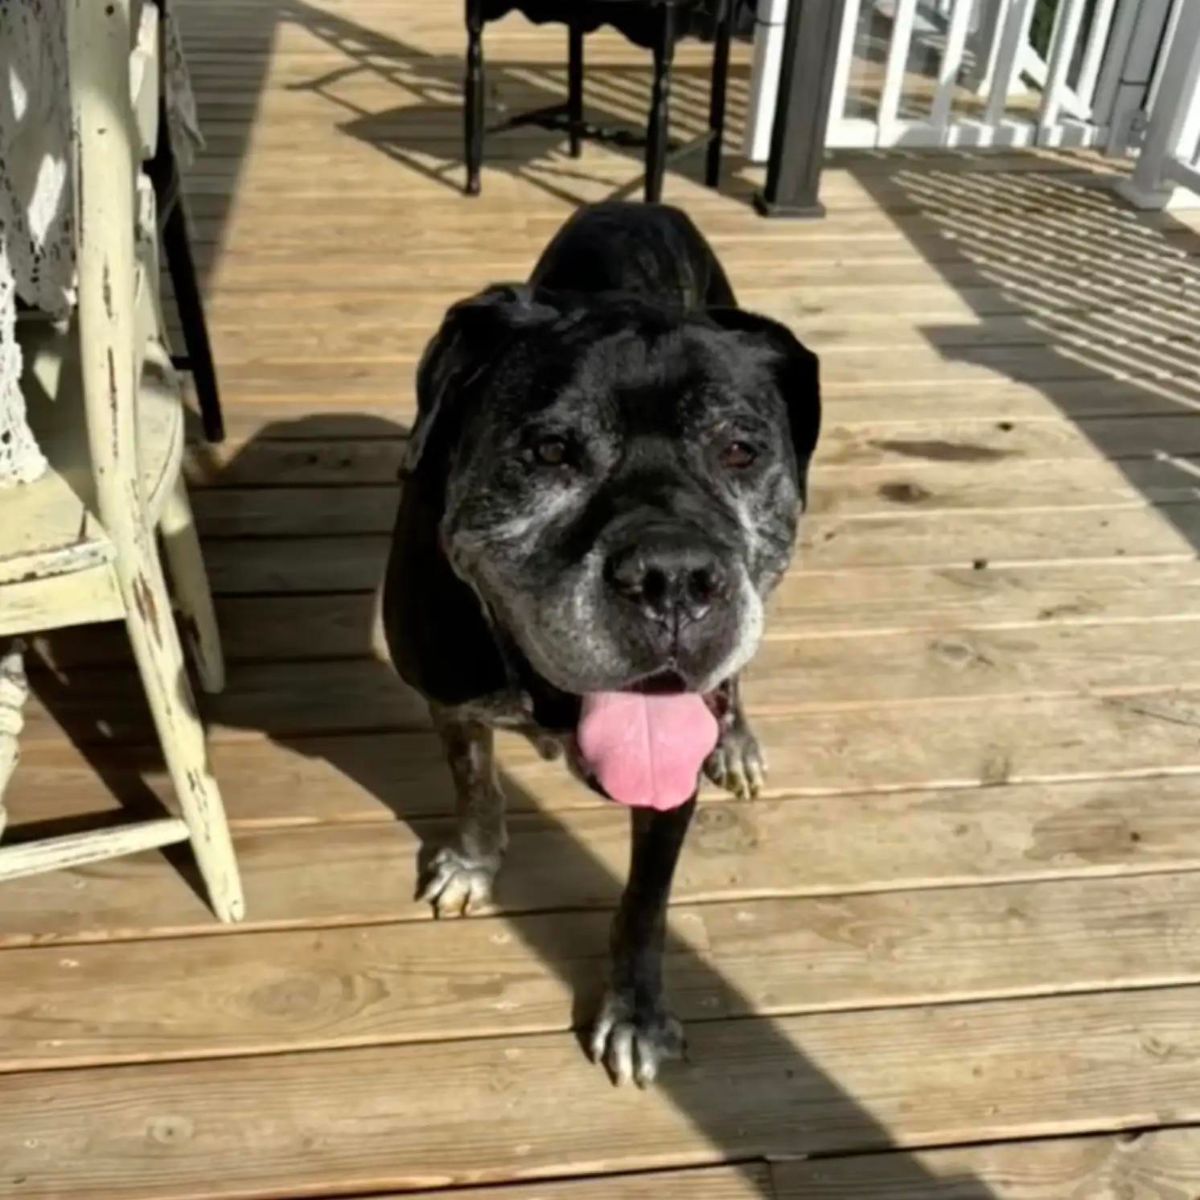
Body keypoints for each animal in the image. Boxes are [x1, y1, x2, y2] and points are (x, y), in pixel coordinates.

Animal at [388, 199, 820, 1089]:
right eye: (550, 451)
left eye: (739, 450)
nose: (673, 577)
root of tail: (645, 200)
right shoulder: (448, 696)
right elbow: (474, 783)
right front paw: (473, 862)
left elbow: (644, 903)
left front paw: (636, 1014)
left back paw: (738, 740)